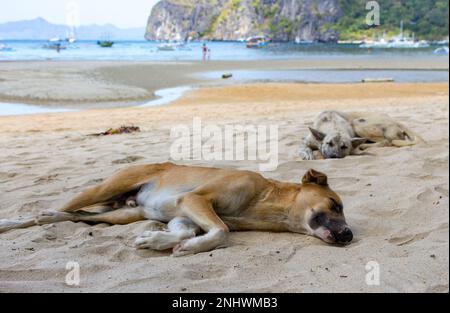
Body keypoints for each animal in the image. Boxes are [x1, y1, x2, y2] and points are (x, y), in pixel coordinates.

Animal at [0, 162, 352, 255]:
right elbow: (222, 231)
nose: (349, 235)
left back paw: (53, 217)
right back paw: (13, 221)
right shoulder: (194, 201)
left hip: (122, 215)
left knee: (74, 216)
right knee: (49, 211)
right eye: (335, 204)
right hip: (103, 188)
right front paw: (187, 247)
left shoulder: (184, 217)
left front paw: (159, 241)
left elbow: (189, 232)